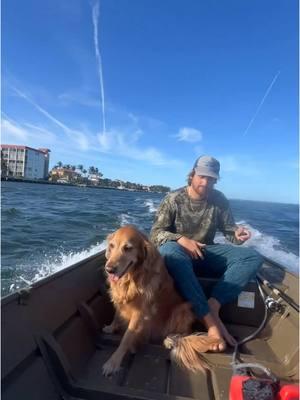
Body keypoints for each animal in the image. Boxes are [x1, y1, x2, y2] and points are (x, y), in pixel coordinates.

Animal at [102, 227, 221, 376]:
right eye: (112, 246)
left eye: (128, 248)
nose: (109, 269)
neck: (132, 277)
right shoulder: (121, 300)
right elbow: (117, 315)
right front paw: (111, 327)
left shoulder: (140, 313)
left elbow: (126, 338)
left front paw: (113, 363)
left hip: (183, 309)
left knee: (185, 332)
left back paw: (171, 339)